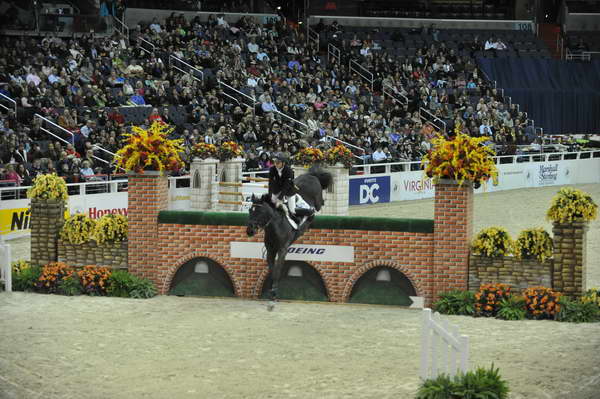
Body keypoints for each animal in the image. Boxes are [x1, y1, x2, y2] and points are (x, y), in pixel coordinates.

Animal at [247, 166, 336, 306]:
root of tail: (312, 175)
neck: (275, 226)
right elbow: (272, 270)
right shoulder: (270, 251)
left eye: (260, 212)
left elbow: (278, 270)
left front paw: (274, 293)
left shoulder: (283, 249)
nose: (249, 231)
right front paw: (272, 290)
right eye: (250, 211)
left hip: (315, 200)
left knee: (319, 204)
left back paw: (311, 211)